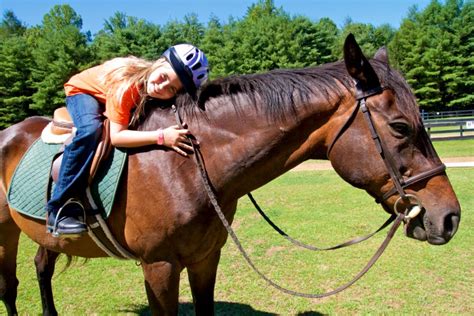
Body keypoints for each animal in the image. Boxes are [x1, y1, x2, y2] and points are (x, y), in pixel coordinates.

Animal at [0, 34, 462, 314]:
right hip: (7, 233)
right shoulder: (159, 266)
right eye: (400, 127)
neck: (186, 167)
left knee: (41, 268)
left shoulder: (206, 258)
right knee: (11, 284)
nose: (450, 217)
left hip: (45, 235)